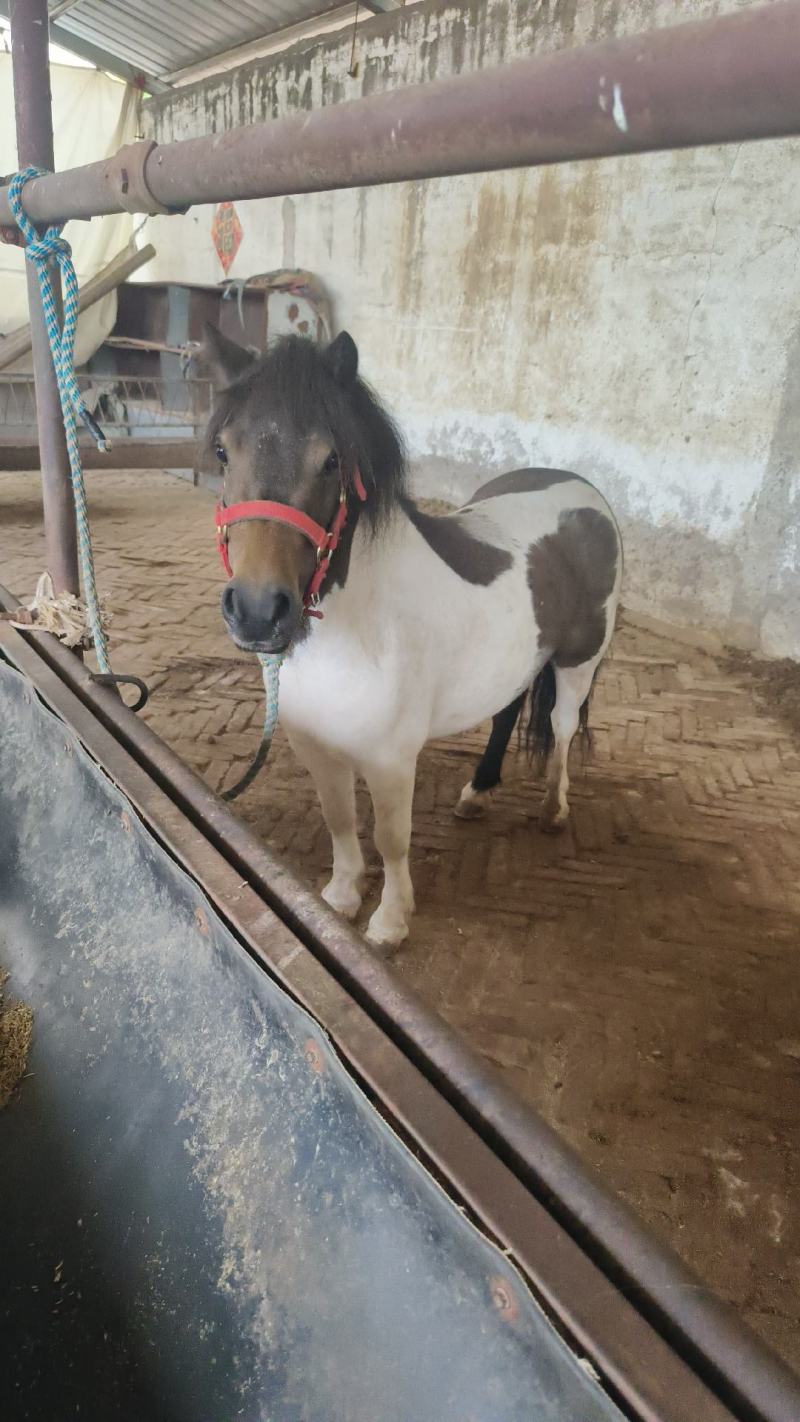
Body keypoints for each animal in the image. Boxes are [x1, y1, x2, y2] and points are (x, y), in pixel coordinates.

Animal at [203, 326, 623, 948]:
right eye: (223, 451)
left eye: (331, 460)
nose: (257, 611)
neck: (356, 631)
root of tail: (581, 489)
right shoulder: (316, 749)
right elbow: (339, 819)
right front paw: (341, 897)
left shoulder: (391, 760)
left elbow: (391, 839)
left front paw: (390, 921)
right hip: (519, 663)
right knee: (507, 713)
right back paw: (477, 793)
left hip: (579, 662)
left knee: (563, 727)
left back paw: (553, 810)